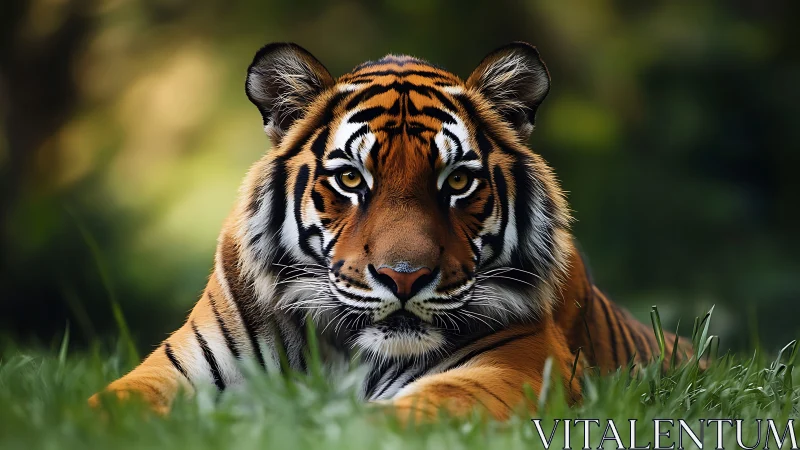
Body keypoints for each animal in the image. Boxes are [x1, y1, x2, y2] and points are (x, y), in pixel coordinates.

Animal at [89, 42, 695, 421]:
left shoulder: (517, 364)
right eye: (351, 178)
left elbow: (415, 414)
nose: (404, 278)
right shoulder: (178, 367)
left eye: (458, 181)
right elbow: (105, 405)